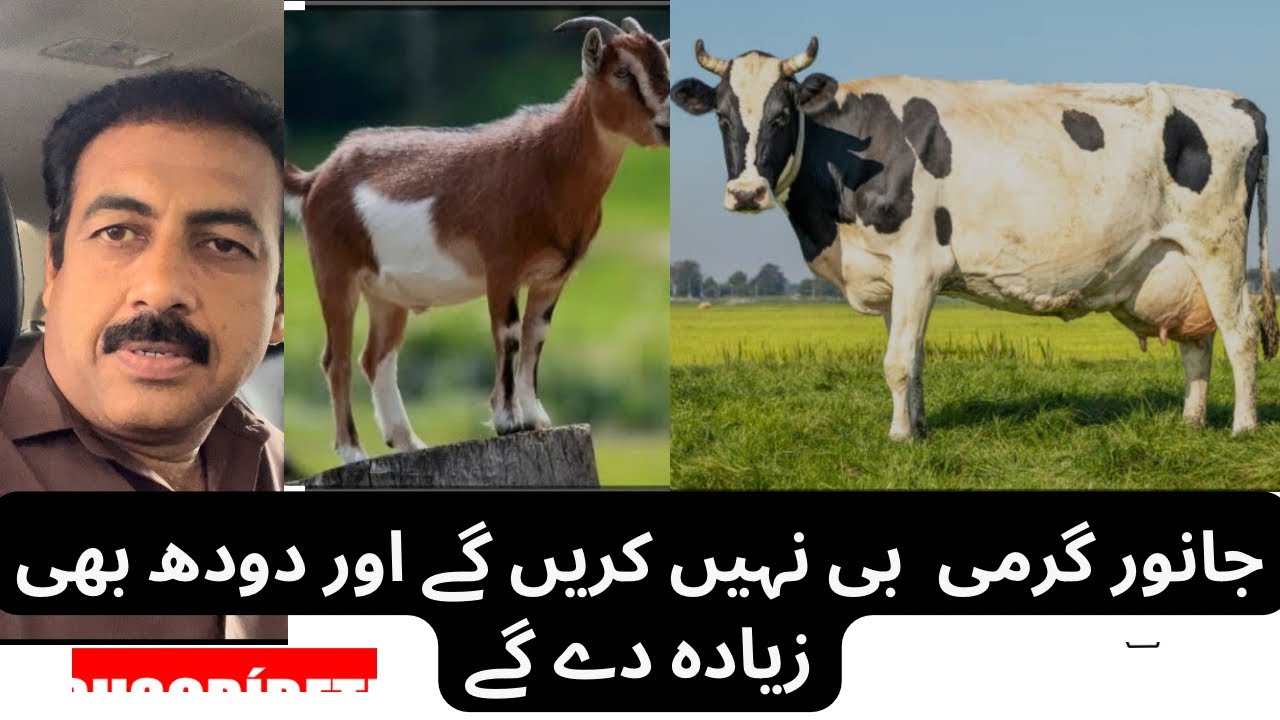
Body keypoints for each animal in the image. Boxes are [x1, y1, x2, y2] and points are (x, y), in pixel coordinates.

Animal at [283, 16, 671, 464]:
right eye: (622, 72)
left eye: (665, 68)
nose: (666, 124)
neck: (549, 164)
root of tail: (315, 179)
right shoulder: (501, 267)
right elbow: (509, 334)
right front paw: (508, 421)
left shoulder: (552, 277)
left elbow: (536, 336)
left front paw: (536, 418)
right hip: (334, 271)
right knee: (337, 359)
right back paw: (353, 452)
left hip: (386, 294)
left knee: (375, 357)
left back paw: (408, 442)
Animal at [672, 37, 1275, 442]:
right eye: (723, 117)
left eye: (782, 115)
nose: (746, 192)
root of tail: (1238, 101)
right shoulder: (891, 273)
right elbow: (912, 357)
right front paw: (918, 430)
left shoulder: (918, 264)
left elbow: (897, 360)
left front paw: (898, 437)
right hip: (1177, 261)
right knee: (1198, 340)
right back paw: (1191, 422)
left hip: (1218, 247)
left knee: (1240, 332)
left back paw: (1243, 427)